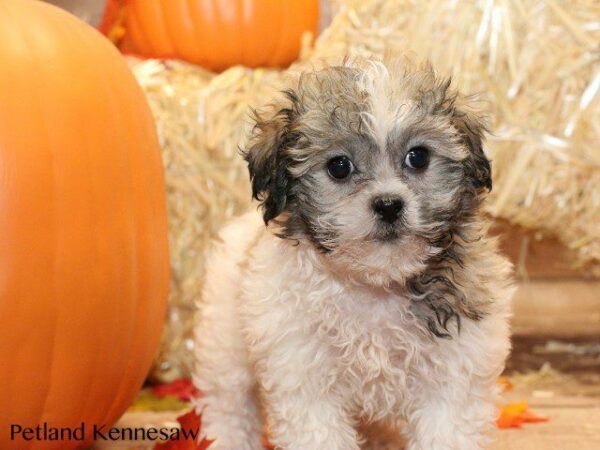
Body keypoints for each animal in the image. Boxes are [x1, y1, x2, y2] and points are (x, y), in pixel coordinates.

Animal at [195, 60, 512, 450]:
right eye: (339, 166)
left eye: (418, 157)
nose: (389, 205)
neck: (375, 285)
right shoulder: (304, 372)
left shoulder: (455, 373)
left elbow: (447, 430)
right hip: (225, 342)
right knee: (229, 402)